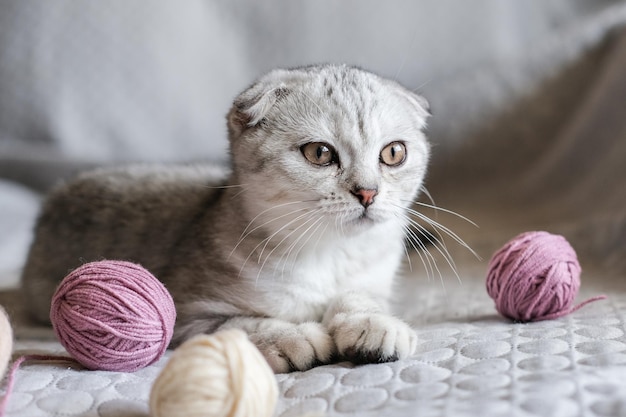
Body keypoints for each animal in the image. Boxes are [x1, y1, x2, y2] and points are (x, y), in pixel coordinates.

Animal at [24, 64, 434, 370]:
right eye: (319, 153)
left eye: (394, 153)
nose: (368, 192)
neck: (328, 255)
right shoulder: (188, 315)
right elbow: (241, 323)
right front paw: (292, 336)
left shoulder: (373, 281)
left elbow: (361, 299)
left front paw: (373, 323)